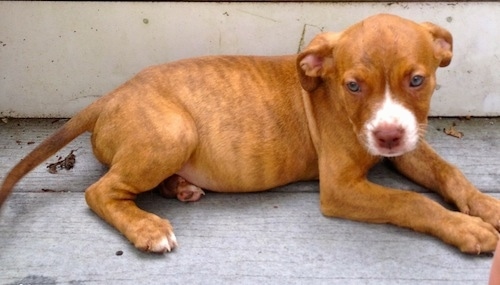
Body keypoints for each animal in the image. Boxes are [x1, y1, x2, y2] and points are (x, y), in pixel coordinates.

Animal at [0, 13, 500, 253]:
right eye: (353, 86)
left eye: (417, 80)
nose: (388, 137)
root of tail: (109, 96)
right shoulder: (340, 188)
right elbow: (412, 202)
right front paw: (467, 230)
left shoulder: (409, 146)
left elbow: (449, 172)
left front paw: (485, 206)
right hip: (174, 131)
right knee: (100, 192)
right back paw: (147, 226)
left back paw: (179, 187)